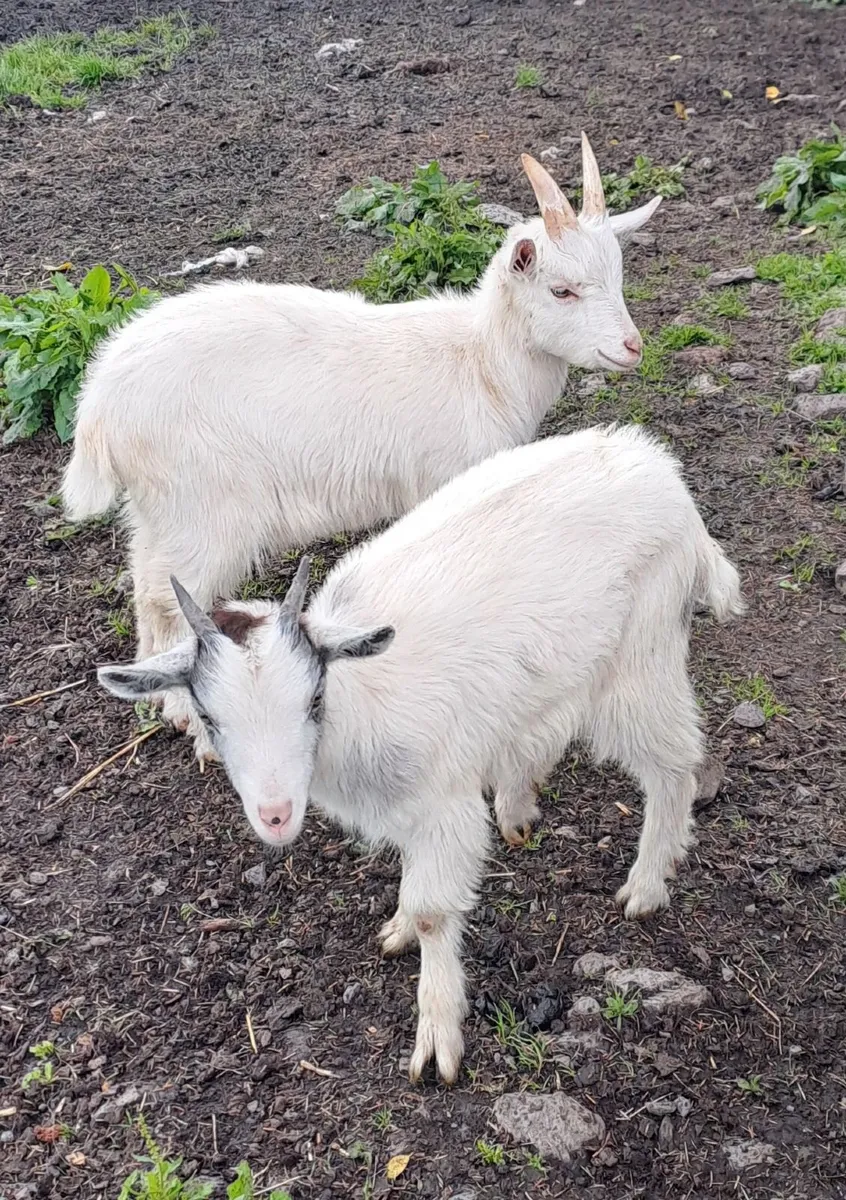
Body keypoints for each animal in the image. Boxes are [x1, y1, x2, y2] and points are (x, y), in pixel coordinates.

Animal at [63, 135, 660, 755]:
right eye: (561, 289)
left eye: (618, 276)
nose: (632, 347)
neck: (481, 362)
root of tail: (100, 404)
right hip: (201, 510)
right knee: (171, 597)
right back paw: (190, 717)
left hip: (156, 511)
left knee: (146, 588)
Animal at [97, 424, 744, 1084]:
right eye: (210, 717)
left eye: (313, 699)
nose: (275, 815)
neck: (360, 705)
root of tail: (660, 469)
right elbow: (412, 885)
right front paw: (401, 928)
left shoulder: (443, 805)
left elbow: (436, 909)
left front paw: (436, 1039)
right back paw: (519, 808)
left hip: (641, 655)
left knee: (674, 764)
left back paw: (646, 883)